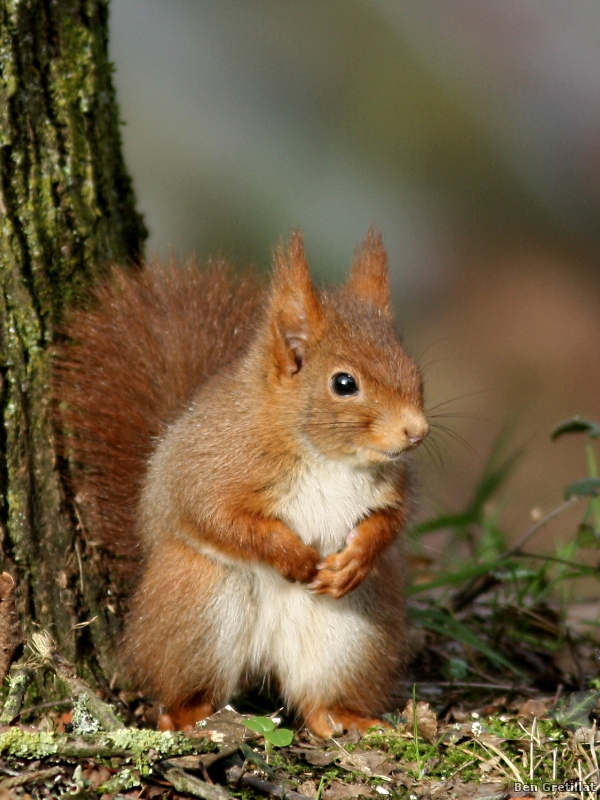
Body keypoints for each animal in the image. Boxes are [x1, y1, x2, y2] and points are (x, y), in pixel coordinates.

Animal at [56, 230, 426, 736]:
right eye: (344, 383)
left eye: (414, 368)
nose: (417, 431)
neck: (327, 456)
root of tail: (264, 657)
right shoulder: (216, 469)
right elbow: (220, 518)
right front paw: (293, 558)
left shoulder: (391, 486)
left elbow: (390, 521)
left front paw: (354, 561)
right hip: (199, 603)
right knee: (192, 686)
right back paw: (186, 713)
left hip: (351, 636)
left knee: (316, 699)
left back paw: (343, 715)